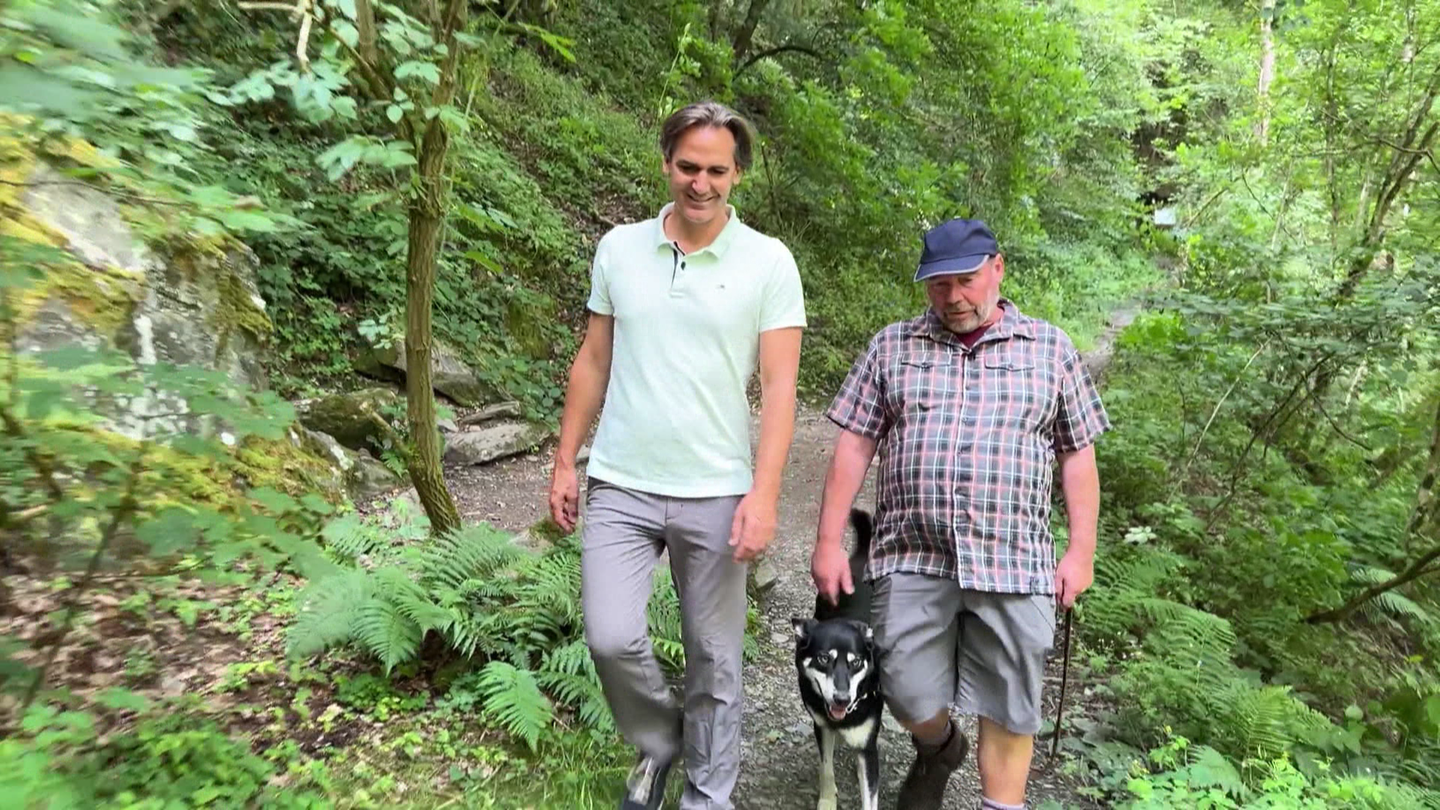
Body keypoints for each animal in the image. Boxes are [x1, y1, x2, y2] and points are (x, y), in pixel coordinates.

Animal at [792, 508, 882, 810]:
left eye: (856, 663)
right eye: (823, 659)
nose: (842, 700)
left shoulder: (867, 745)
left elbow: (870, 795)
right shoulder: (821, 725)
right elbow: (826, 768)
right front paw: (827, 801)